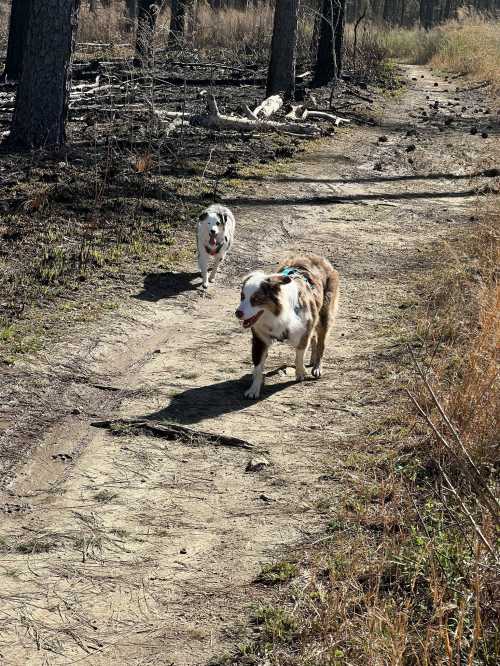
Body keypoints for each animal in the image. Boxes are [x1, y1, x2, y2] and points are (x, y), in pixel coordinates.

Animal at [235, 254, 340, 396]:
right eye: (242, 296)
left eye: (256, 299)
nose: (237, 313)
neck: (275, 316)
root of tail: (316, 257)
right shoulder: (259, 339)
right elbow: (258, 367)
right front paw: (253, 389)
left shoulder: (304, 330)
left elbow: (299, 355)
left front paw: (300, 373)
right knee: (314, 338)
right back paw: (312, 360)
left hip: (324, 315)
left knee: (321, 344)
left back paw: (317, 366)